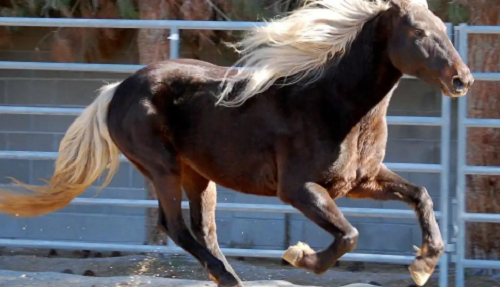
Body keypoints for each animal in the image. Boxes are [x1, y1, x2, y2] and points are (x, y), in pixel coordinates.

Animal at [0, 0, 472, 286]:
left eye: (441, 28)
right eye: (418, 32)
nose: (462, 80)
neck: (332, 102)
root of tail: (116, 90)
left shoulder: (361, 181)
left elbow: (420, 194)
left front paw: (423, 264)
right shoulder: (299, 189)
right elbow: (349, 235)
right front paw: (299, 256)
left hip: (198, 176)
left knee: (203, 230)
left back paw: (227, 276)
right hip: (162, 168)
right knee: (177, 227)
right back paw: (229, 277)